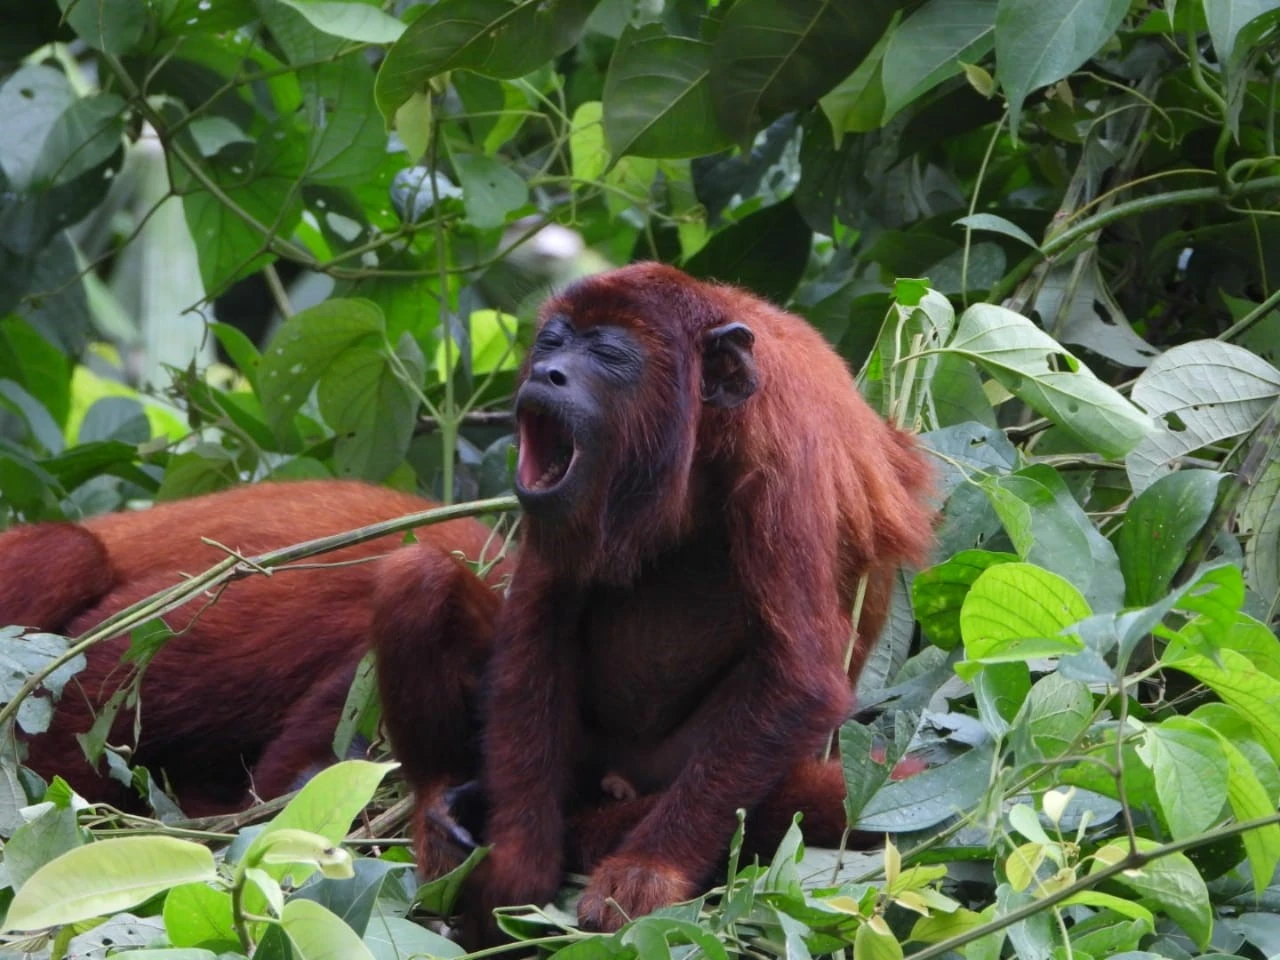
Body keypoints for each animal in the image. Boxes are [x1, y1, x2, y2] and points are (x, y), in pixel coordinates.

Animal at [455, 264, 936, 942]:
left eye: (608, 353)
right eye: (553, 342)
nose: (545, 373)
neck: (704, 431)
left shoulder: (786, 460)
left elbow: (800, 680)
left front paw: (647, 870)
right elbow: (537, 628)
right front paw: (518, 864)